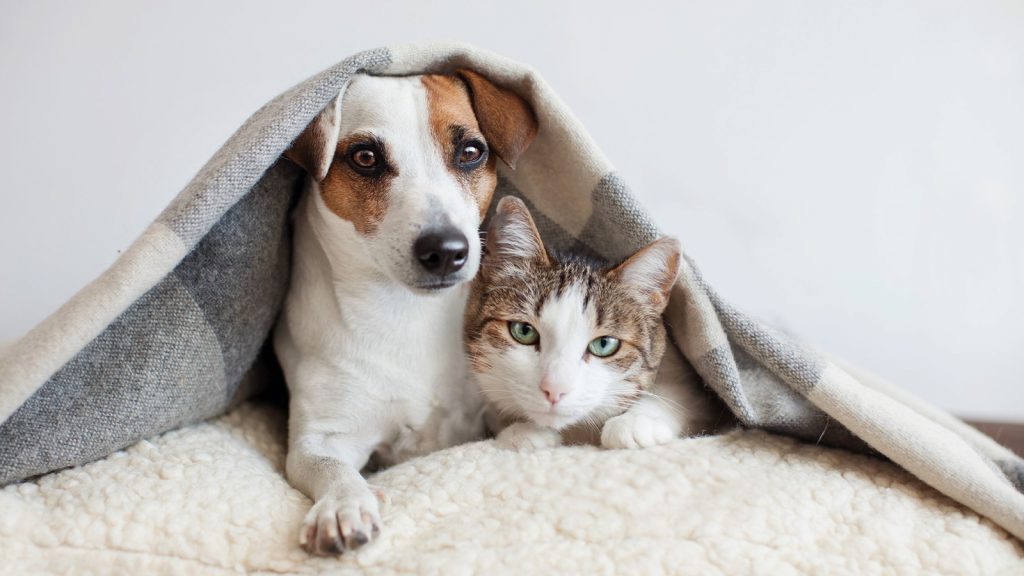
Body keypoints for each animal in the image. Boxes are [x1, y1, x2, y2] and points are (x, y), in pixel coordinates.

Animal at [276, 69, 540, 553]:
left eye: (470, 152)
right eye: (365, 157)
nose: (446, 250)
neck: (406, 313)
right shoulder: (320, 438)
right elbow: (331, 468)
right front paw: (343, 504)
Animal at [464, 195, 720, 448]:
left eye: (604, 344)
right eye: (524, 331)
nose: (554, 390)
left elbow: (679, 393)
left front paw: (636, 422)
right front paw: (523, 431)